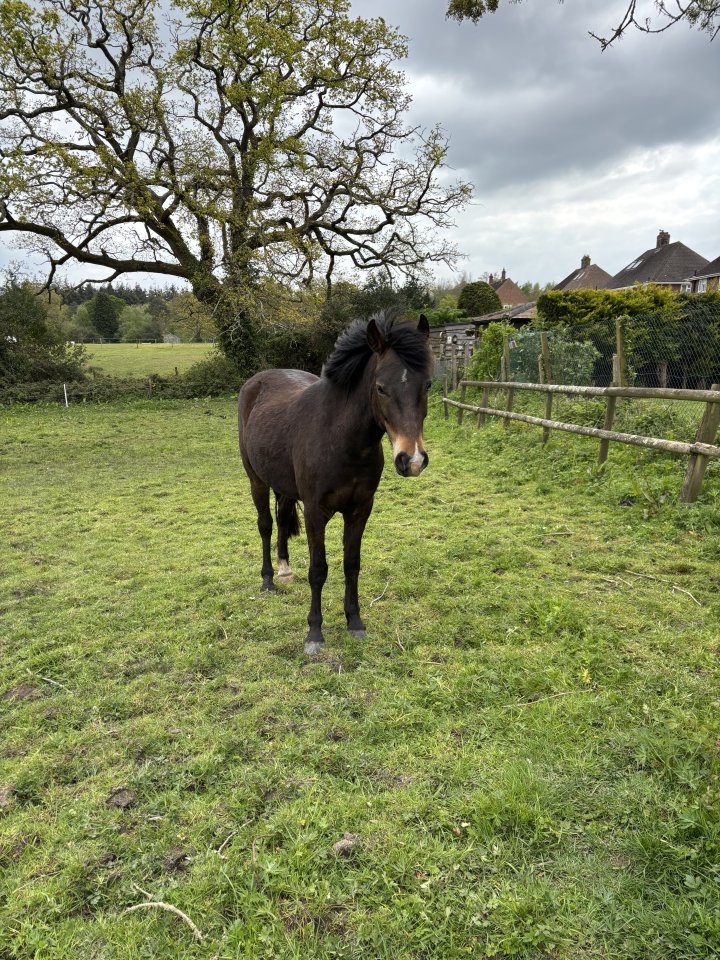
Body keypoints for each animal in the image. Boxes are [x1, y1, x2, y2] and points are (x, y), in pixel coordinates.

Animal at [238, 312, 432, 655]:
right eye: (380, 388)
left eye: (428, 385)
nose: (412, 460)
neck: (342, 439)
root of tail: (255, 382)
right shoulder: (316, 512)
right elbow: (319, 570)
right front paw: (314, 633)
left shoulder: (360, 510)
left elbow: (351, 564)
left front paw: (355, 622)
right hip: (256, 480)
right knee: (265, 525)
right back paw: (268, 580)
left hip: (284, 486)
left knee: (281, 518)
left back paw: (285, 569)